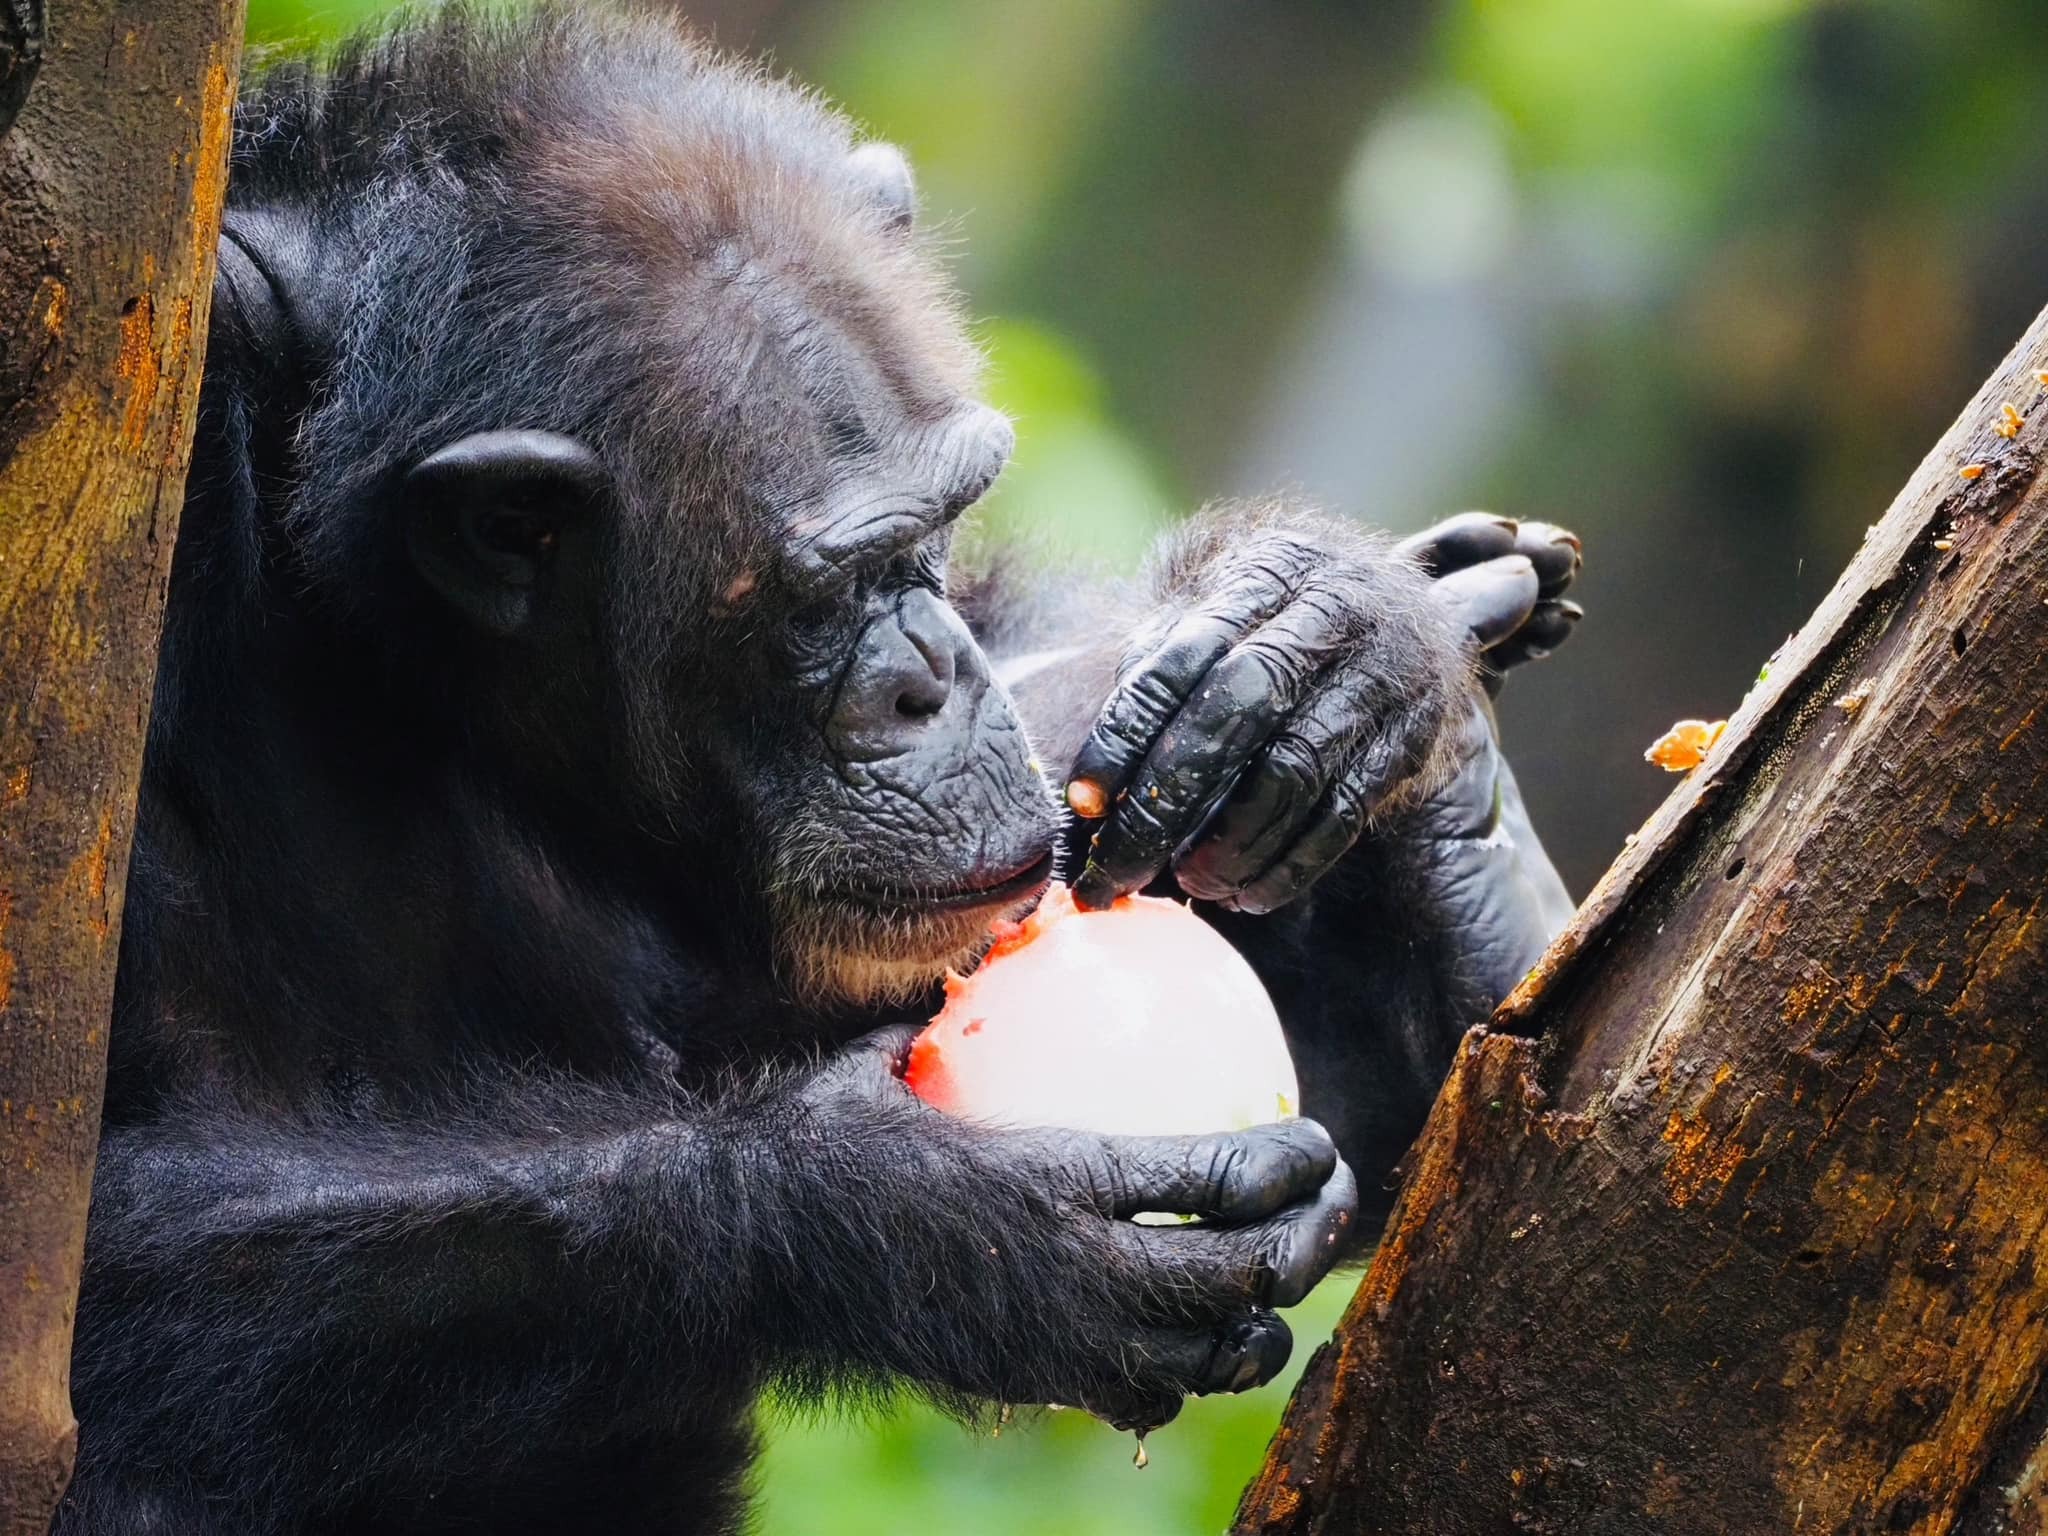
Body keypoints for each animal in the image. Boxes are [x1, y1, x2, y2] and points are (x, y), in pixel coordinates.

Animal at [51, 6, 1581, 1531]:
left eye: (942, 526)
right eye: (835, 587)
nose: (930, 678)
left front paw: (1340, 653)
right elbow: (88, 1287)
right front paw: (927, 1223)